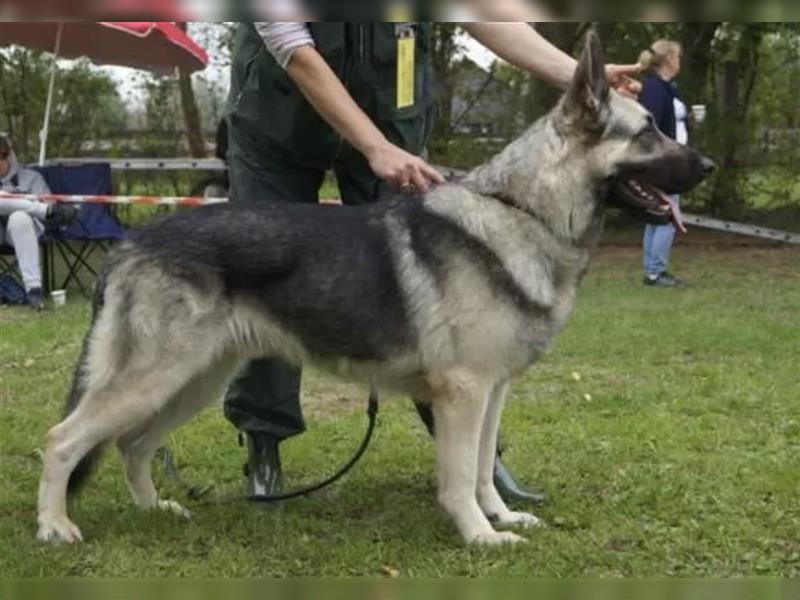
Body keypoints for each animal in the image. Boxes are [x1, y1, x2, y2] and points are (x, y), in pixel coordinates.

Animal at [36, 35, 712, 548]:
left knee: (132, 444)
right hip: (156, 379)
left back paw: (154, 510)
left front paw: (500, 517)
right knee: (63, 440)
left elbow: (483, 469)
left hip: (192, 382)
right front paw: (479, 536)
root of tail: (131, 243)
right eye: (649, 132)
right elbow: (460, 476)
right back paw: (54, 528)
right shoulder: (464, 393)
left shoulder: (493, 391)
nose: (708, 166)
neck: (522, 210)